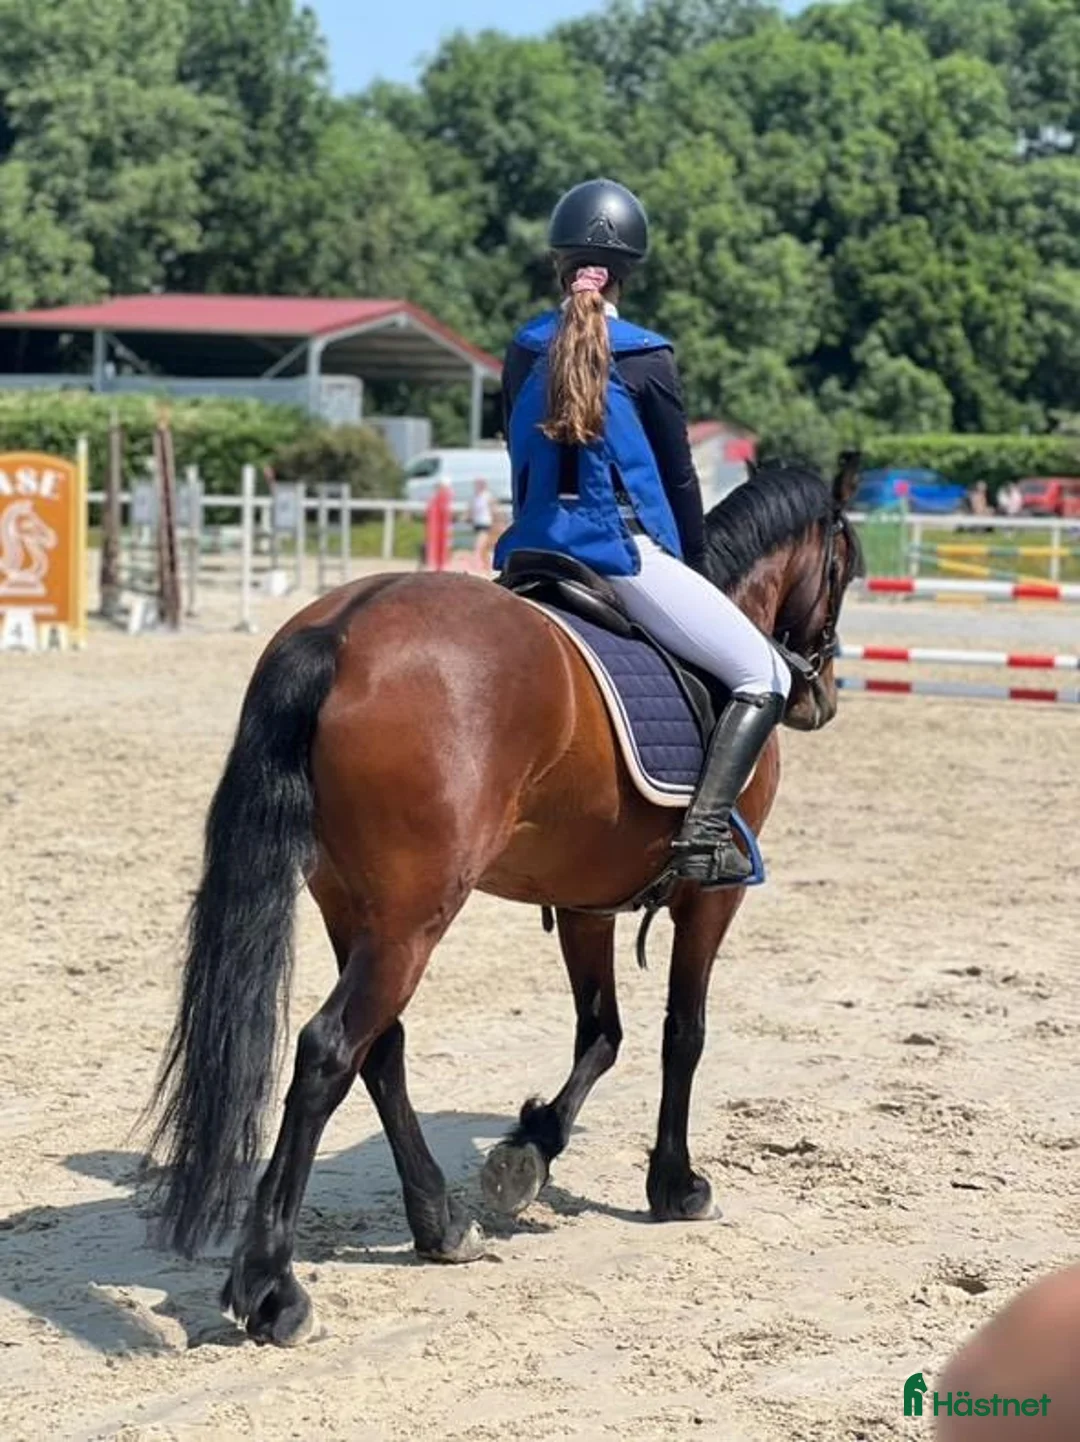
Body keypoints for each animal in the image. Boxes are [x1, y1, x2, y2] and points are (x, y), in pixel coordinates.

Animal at [146, 456, 864, 1345]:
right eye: (845, 566)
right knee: (328, 1050)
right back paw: (273, 1287)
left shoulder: (586, 901)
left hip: (355, 906)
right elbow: (682, 1034)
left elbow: (603, 1032)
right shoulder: (710, 899)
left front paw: (529, 1152)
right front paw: (675, 1185)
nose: (816, 698)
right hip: (415, 916)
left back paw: (440, 1226)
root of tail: (342, 630)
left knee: (380, 1047)